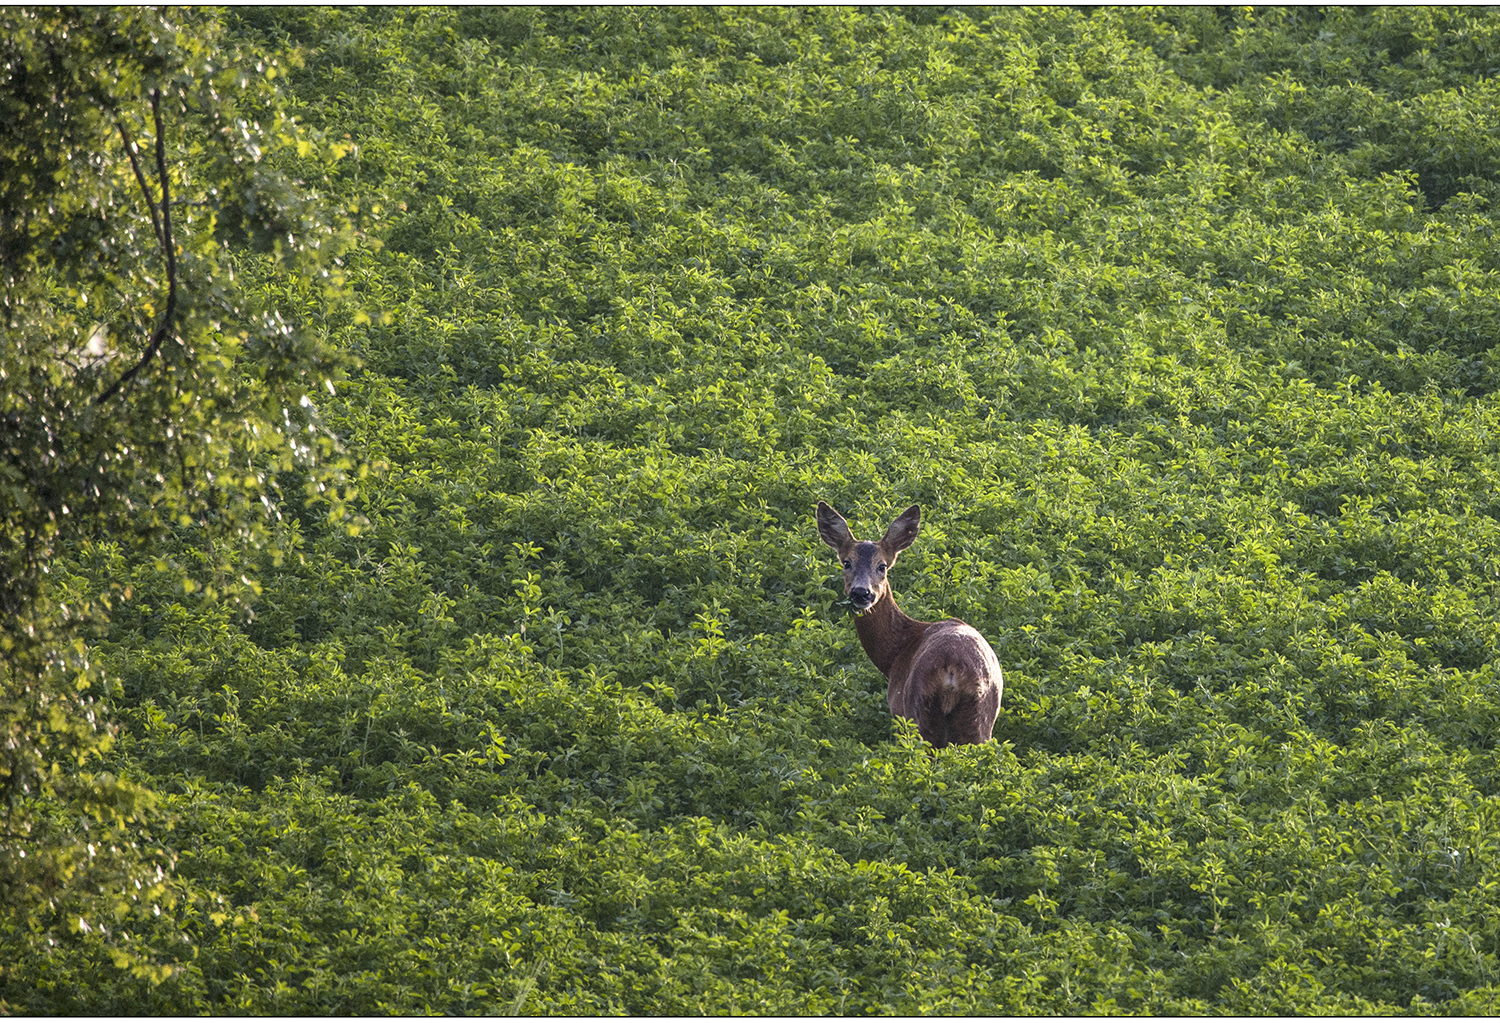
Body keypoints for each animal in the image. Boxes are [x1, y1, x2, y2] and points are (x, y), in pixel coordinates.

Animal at [816, 501, 1002, 744]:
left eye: (882, 566)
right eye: (846, 562)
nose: (861, 592)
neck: (895, 655)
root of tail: (951, 672)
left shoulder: (896, 708)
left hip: (916, 713)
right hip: (980, 721)